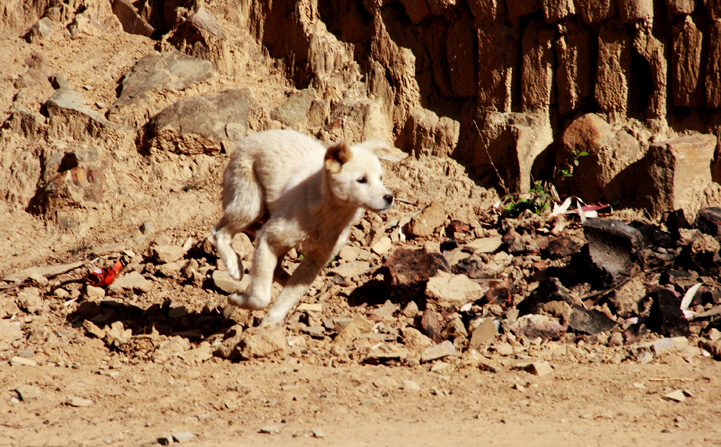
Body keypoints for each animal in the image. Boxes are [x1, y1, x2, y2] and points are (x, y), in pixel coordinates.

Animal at [212, 128, 404, 328]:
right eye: (361, 180)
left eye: (380, 178)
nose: (389, 198)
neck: (329, 213)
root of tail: (249, 138)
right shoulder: (269, 238)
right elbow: (261, 298)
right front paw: (236, 300)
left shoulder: (316, 260)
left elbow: (286, 299)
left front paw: (268, 326)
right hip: (251, 205)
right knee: (219, 231)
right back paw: (234, 266)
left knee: (275, 266)